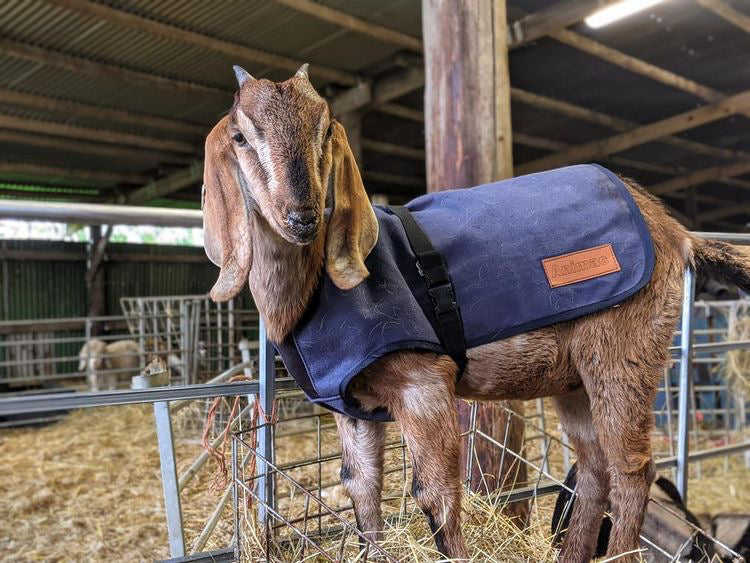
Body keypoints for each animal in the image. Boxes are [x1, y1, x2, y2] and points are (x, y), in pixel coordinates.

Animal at [201, 65, 750, 562]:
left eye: (326, 128)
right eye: (241, 135)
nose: (304, 216)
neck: (311, 291)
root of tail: (676, 231)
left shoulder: (423, 382)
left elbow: (435, 495)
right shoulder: (352, 408)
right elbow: (362, 489)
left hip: (624, 348)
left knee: (633, 468)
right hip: (575, 377)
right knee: (594, 466)